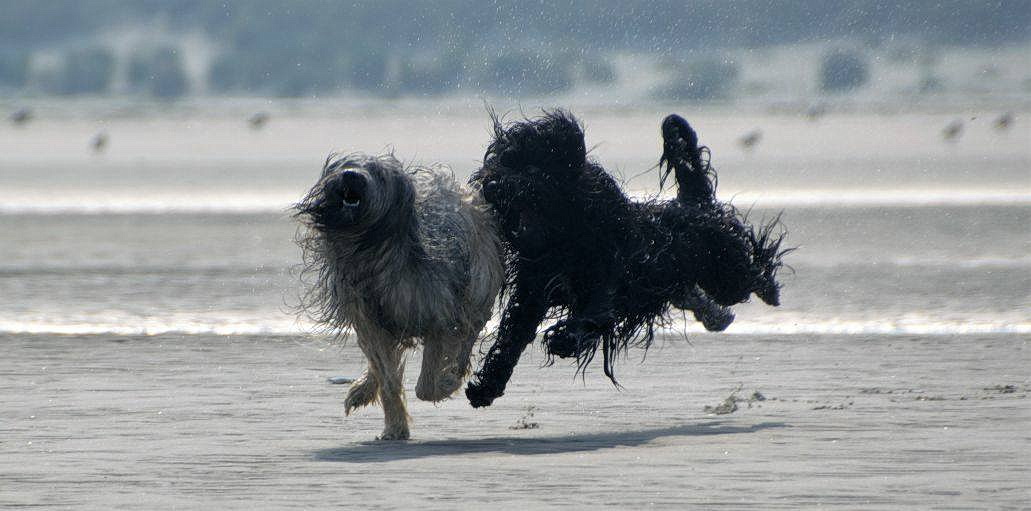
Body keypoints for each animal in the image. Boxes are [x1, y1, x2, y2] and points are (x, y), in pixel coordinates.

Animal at [295, 152, 503, 439]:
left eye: (379, 174)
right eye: (346, 165)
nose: (352, 175)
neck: (371, 252)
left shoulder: (438, 314)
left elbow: (427, 383)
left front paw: (447, 383)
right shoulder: (368, 321)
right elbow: (387, 376)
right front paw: (395, 426)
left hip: (477, 288)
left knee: (467, 336)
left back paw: (455, 370)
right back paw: (362, 389)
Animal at [465, 110, 790, 407]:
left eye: (532, 169)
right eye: (503, 160)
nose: (491, 185)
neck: (565, 237)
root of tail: (694, 203)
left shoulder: (607, 282)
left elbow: (591, 315)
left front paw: (564, 338)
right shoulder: (531, 295)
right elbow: (510, 340)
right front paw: (485, 387)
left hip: (726, 272)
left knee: (753, 264)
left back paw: (769, 290)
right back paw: (719, 315)